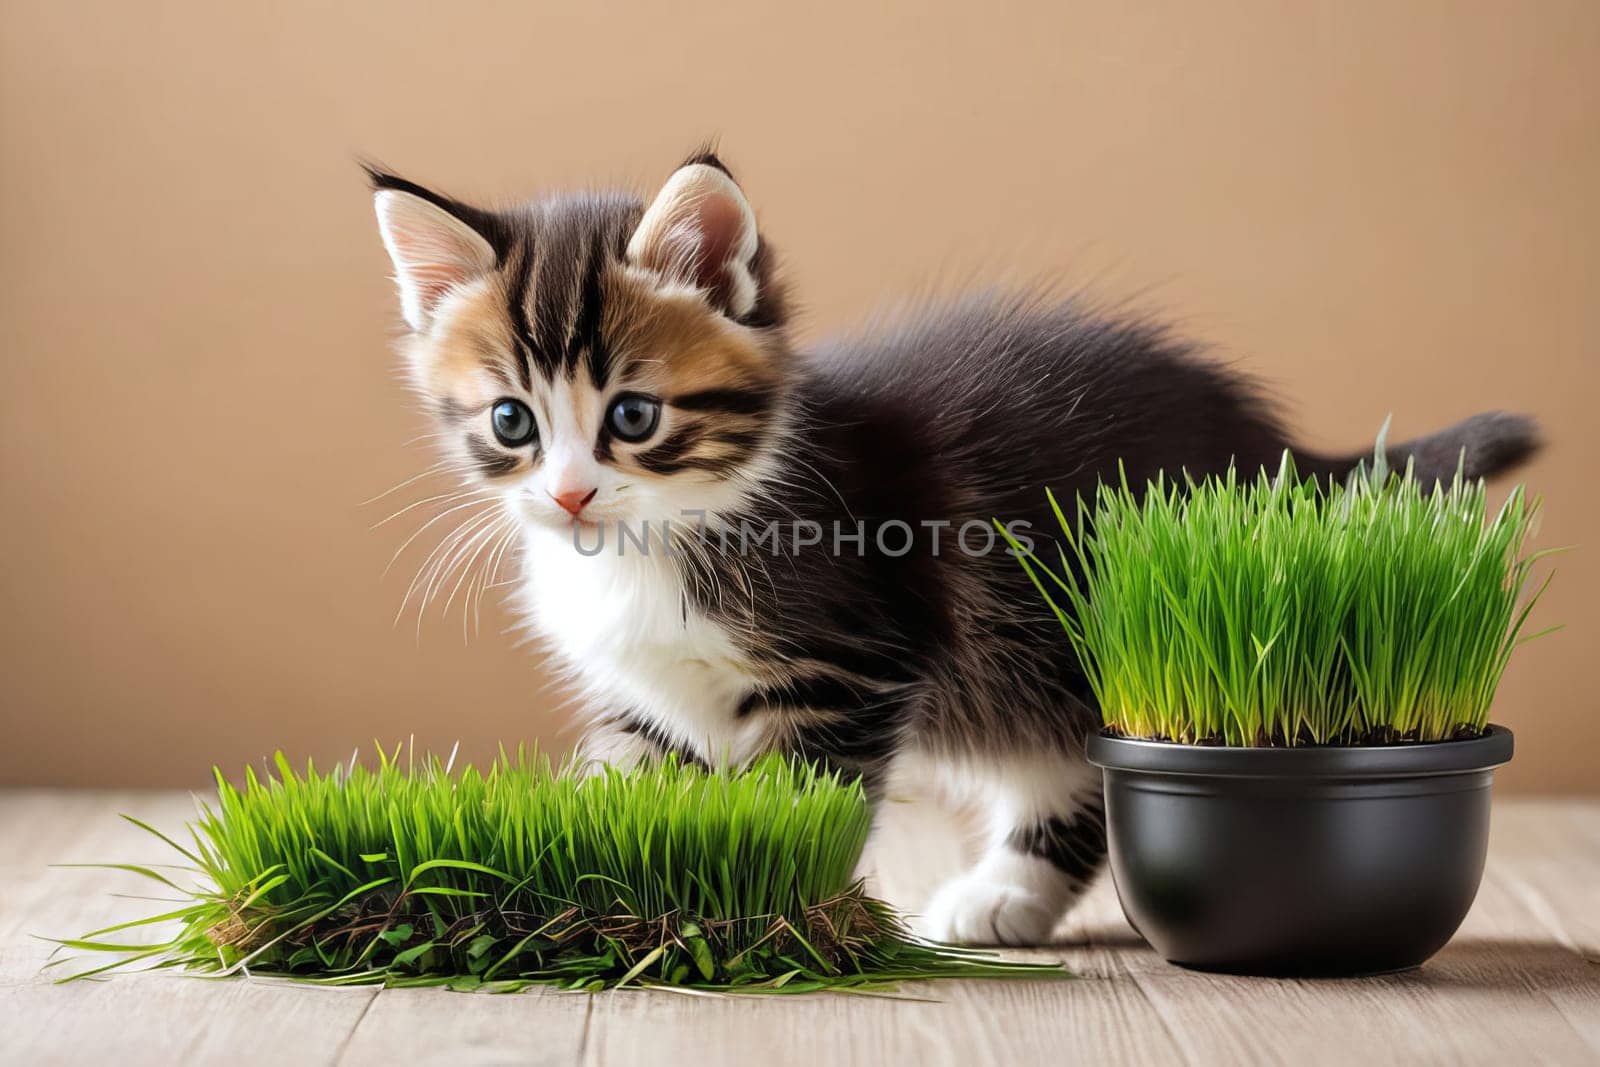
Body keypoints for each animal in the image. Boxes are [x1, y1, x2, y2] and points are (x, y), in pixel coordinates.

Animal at [368, 147, 1542, 940]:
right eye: (511, 421)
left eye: (633, 416)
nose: (569, 497)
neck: (677, 527)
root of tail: (1280, 455)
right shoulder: (643, 700)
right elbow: (628, 792)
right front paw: (589, 882)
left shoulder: (850, 660)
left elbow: (803, 803)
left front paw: (770, 906)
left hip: (1103, 643)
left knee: (1089, 768)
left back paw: (1001, 896)